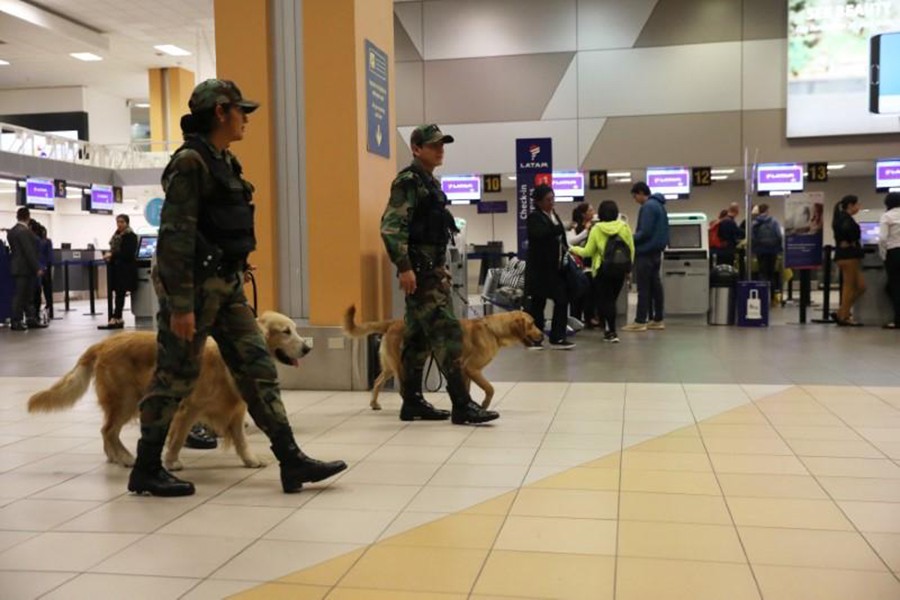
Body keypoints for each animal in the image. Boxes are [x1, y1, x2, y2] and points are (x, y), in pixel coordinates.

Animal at [28, 312, 310, 472]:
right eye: (286, 332)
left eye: (296, 329)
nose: (307, 348)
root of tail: (103, 344)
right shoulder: (189, 408)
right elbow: (178, 436)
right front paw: (172, 461)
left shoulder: (236, 410)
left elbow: (241, 439)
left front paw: (250, 460)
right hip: (126, 400)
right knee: (108, 430)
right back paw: (125, 458)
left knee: (107, 431)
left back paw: (115, 458)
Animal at [342, 308, 540, 410]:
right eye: (532, 324)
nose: (543, 335)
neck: (492, 329)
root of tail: (392, 322)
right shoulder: (472, 368)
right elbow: (490, 388)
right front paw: (484, 404)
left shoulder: (464, 370)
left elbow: (466, 390)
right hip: (402, 365)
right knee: (402, 389)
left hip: (390, 366)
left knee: (377, 381)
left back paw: (374, 403)